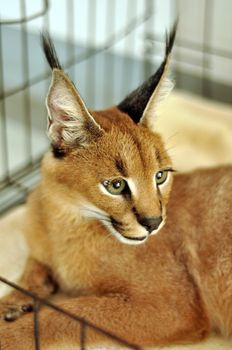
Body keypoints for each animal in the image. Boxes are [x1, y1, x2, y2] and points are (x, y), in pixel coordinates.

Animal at [0, 23, 232, 348]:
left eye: (160, 176)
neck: (66, 215)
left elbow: (67, 311)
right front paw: (12, 302)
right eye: (116, 185)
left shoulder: (173, 306)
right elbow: (33, 268)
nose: (154, 223)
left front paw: (10, 331)